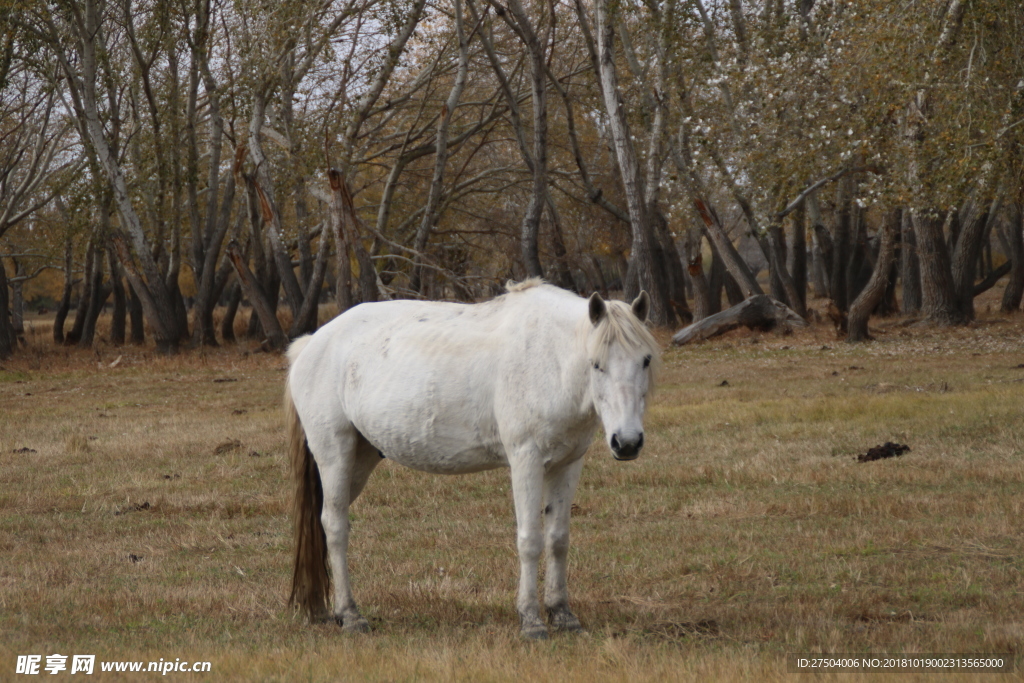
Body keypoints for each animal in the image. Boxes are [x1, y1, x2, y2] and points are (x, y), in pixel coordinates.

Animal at [284, 278, 659, 643]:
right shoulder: (526, 461)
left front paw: (563, 615)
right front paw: (531, 621)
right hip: (335, 454)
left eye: (645, 360)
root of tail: (314, 342)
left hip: (359, 461)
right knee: (334, 526)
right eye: (596, 364)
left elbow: (557, 540)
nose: (627, 442)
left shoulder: (567, 465)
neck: (550, 357)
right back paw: (350, 615)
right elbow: (530, 540)